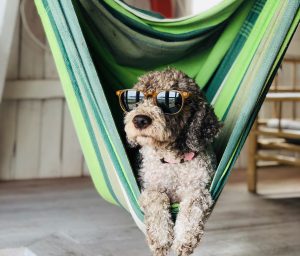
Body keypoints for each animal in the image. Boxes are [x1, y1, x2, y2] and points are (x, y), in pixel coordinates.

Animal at [117, 68, 220, 256]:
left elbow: (192, 207)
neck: (173, 162)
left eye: (171, 101)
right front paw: (161, 238)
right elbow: (158, 199)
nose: (140, 120)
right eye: (136, 100)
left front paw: (184, 239)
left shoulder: (199, 190)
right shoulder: (150, 189)